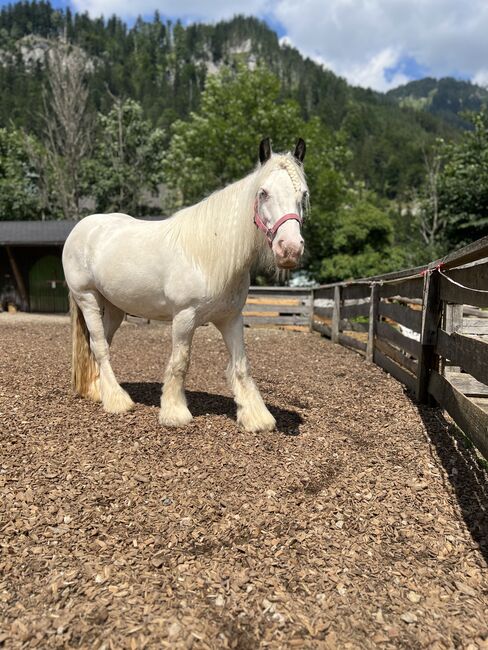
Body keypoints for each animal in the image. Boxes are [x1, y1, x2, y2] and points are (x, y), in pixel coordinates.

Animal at [63, 138, 306, 430]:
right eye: (263, 193)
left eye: (303, 195)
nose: (289, 249)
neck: (208, 254)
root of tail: (81, 228)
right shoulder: (184, 317)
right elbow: (180, 362)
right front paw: (175, 412)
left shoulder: (231, 318)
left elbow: (241, 365)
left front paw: (256, 416)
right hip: (87, 298)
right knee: (99, 345)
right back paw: (118, 401)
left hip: (114, 307)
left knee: (101, 344)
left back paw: (98, 391)